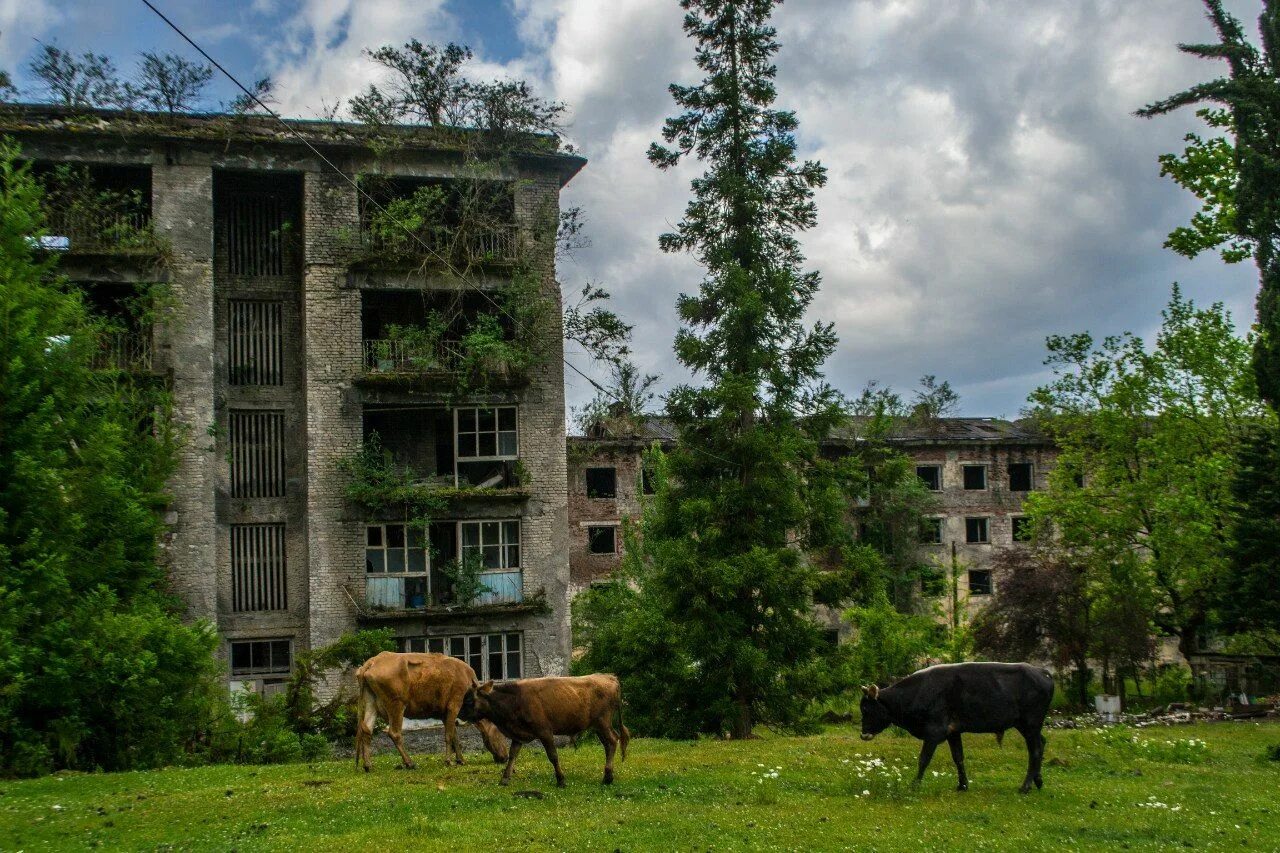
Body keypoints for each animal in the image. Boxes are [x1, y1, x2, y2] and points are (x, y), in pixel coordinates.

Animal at [355, 650, 509, 768]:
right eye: (501, 732)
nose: (505, 757)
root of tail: (373, 661)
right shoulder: (454, 704)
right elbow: (449, 735)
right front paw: (448, 761)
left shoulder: (444, 713)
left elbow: (454, 735)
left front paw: (460, 760)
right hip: (396, 704)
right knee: (394, 733)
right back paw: (409, 763)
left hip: (371, 703)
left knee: (366, 730)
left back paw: (368, 765)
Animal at [460, 671, 629, 783]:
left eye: (468, 700)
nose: (458, 717)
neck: (515, 699)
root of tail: (608, 677)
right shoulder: (518, 734)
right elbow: (513, 754)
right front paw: (505, 778)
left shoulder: (545, 732)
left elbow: (553, 755)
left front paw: (560, 779)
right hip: (598, 725)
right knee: (609, 743)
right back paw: (608, 775)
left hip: (602, 722)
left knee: (612, 741)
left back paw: (607, 777)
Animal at [860, 655, 1049, 788]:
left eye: (866, 710)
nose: (863, 735)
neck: (920, 692)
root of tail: (1041, 671)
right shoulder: (953, 732)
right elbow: (958, 757)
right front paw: (962, 785)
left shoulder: (934, 732)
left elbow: (924, 759)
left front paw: (914, 785)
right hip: (1028, 726)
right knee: (1042, 742)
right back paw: (1038, 780)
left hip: (1030, 725)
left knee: (1035, 751)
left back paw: (1026, 786)